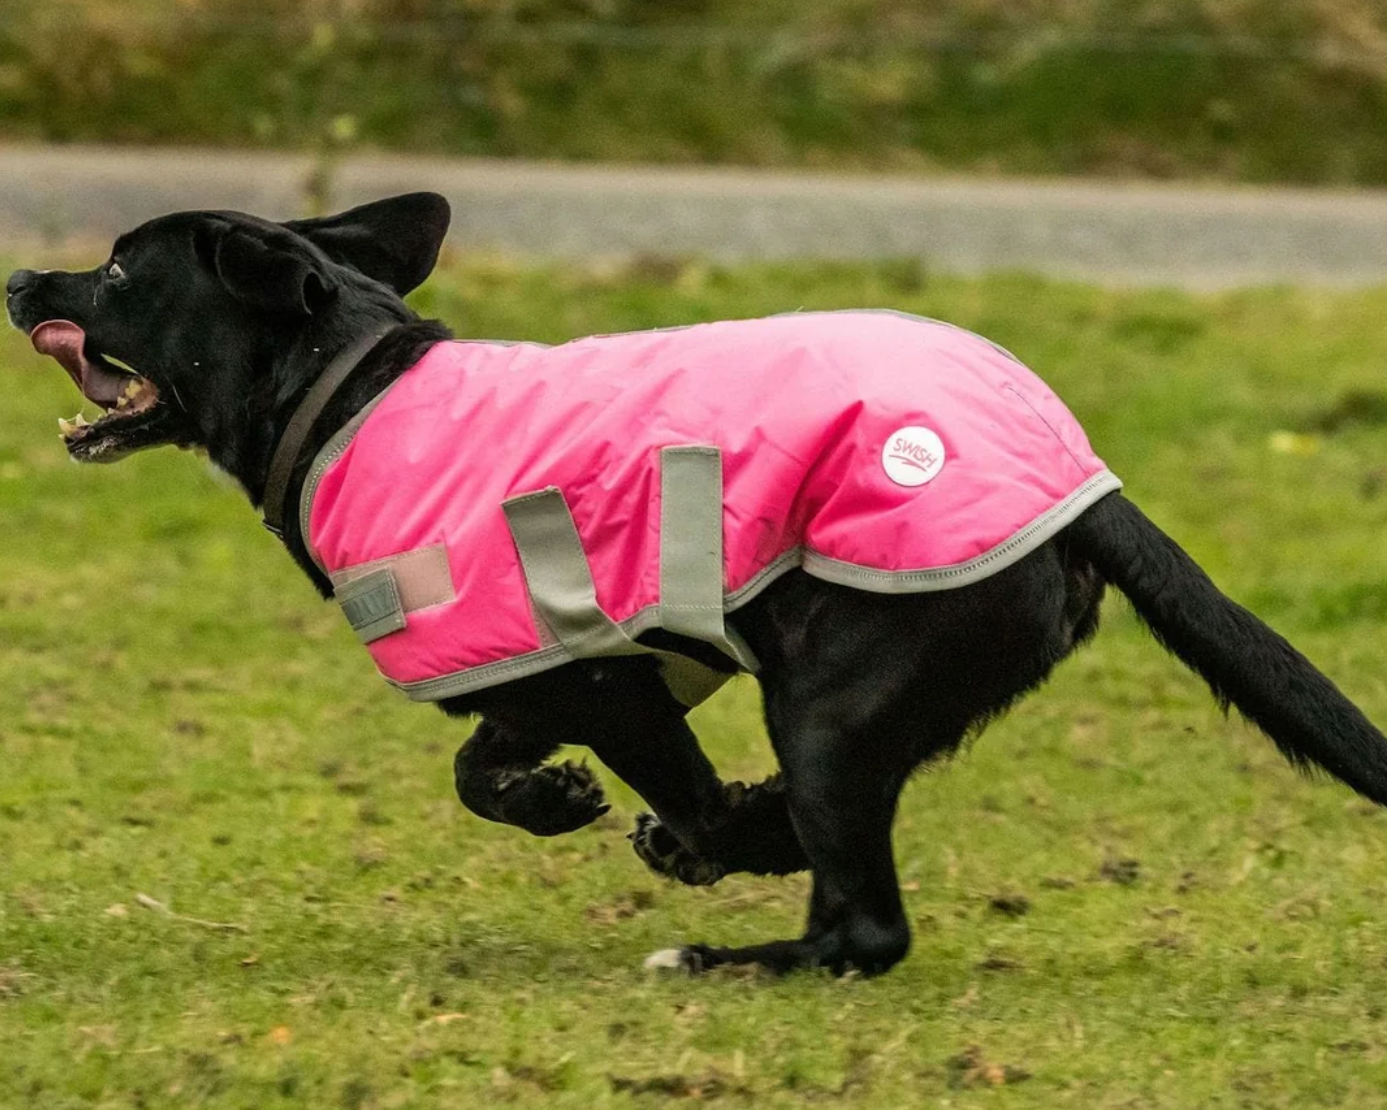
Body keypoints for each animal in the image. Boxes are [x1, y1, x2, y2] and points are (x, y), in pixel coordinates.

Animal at [8, 195, 1387, 976]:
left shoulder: (610, 681)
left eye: (119, 273)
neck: (343, 385)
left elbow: (684, 799)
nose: (21, 281)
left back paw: (726, 951)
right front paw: (556, 800)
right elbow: (479, 773)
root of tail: (1079, 477)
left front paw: (714, 833)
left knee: (864, 931)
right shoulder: (528, 669)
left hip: (828, 702)